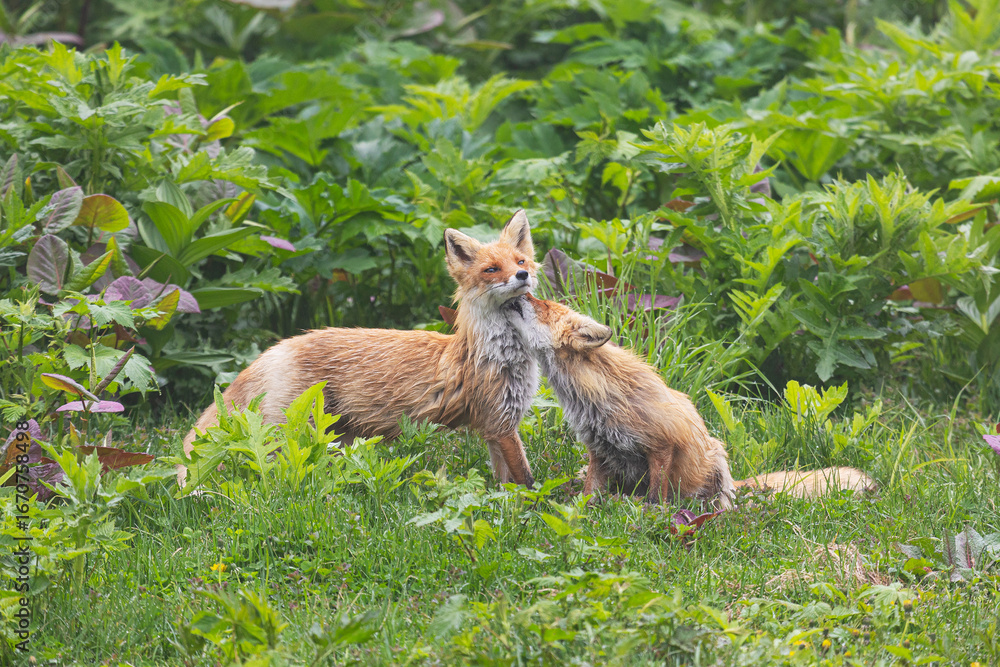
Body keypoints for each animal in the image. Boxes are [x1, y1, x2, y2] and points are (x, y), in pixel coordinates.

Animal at [178, 211, 542, 489]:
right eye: (491, 269)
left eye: (520, 260)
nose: (522, 274)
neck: (498, 352)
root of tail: (279, 346)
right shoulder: (500, 422)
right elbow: (526, 480)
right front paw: (533, 510)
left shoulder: (495, 426)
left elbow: (505, 482)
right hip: (291, 434)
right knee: (277, 476)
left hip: (338, 437)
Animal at [495, 294, 874, 510]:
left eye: (542, 306)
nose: (522, 283)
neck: (597, 396)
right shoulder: (599, 452)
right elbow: (588, 494)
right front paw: (583, 509)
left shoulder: (662, 444)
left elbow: (655, 495)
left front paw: (650, 514)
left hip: (716, 457)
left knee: (723, 501)